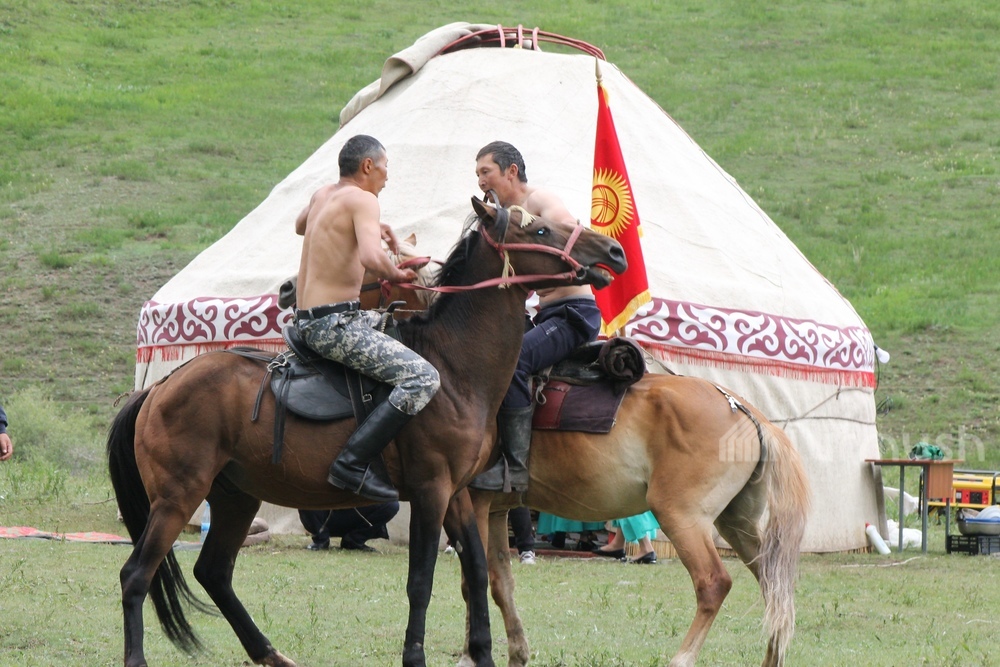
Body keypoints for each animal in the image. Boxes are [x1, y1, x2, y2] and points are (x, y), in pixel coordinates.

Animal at [106, 197, 627, 667]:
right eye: (540, 230)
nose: (615, 252)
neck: (454, 367)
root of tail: (158, 389)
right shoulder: (431, 490)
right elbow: (422, 580)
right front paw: (415, 656)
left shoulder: (458, 493)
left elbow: (477, 572)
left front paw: (481, 653)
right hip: (178, 497)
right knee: (136, 575)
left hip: (235, 497)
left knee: (213, 573)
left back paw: (271, 654)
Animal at [459, 375, 810, 667]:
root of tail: (745, 409)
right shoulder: (493, 510)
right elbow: (501, 584)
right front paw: (517, 653)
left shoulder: (470, 501)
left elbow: (472, 581)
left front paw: (469, 656)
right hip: (736, 525)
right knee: (774, 587)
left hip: (682, 517)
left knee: (714, 583)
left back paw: (681, 658)